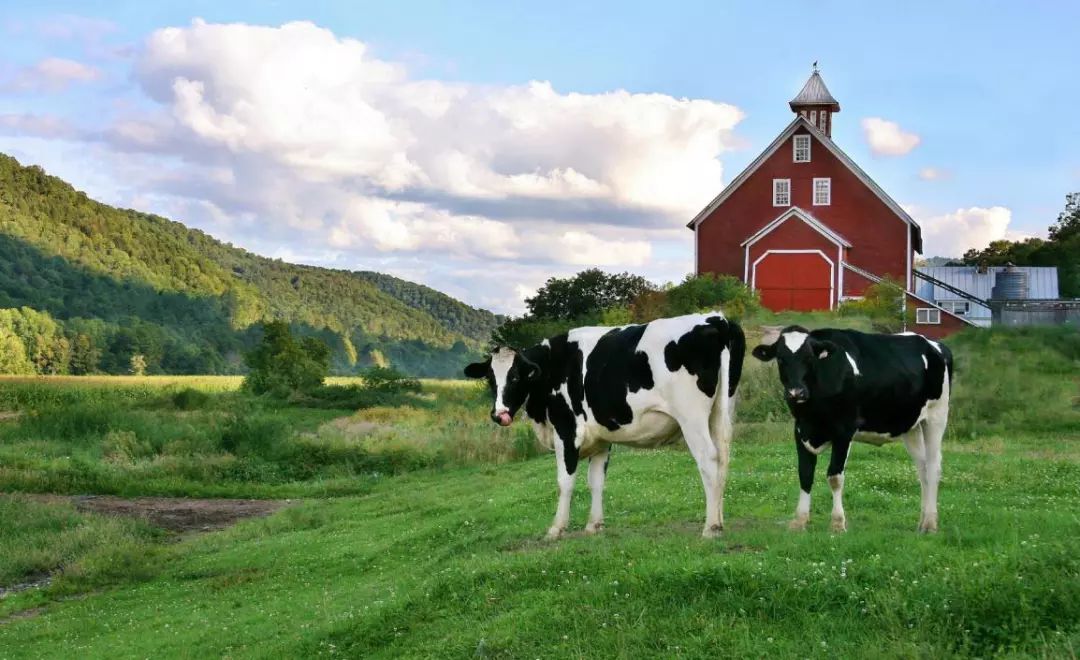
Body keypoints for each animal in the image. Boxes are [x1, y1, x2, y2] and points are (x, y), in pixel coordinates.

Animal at [460, 313, 747, 537]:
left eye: (516, 377)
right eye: (490, 379)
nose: (499, 414)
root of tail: (716, 318)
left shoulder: (567, 432)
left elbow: (565, 482)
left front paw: (556, 528)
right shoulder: (600, 438)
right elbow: (596, 481)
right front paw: (594, 525)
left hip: (691, 417)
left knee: (708, 459)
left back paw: (710, 527)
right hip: (721, 410)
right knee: (723, 457)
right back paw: (719, 520)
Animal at [756, 328, 950, 533]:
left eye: (809, 358)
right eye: (780, 359)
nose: (796, 393)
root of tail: (934, 345)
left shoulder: (843, 431)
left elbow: (835, 477)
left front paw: (837, 523)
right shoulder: (800, 430)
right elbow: (805, 474)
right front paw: (799, 521)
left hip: (936, 417)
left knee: (933, 467)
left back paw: (930, 524)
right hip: (911, 425)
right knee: (922, 468)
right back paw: (922, 522)